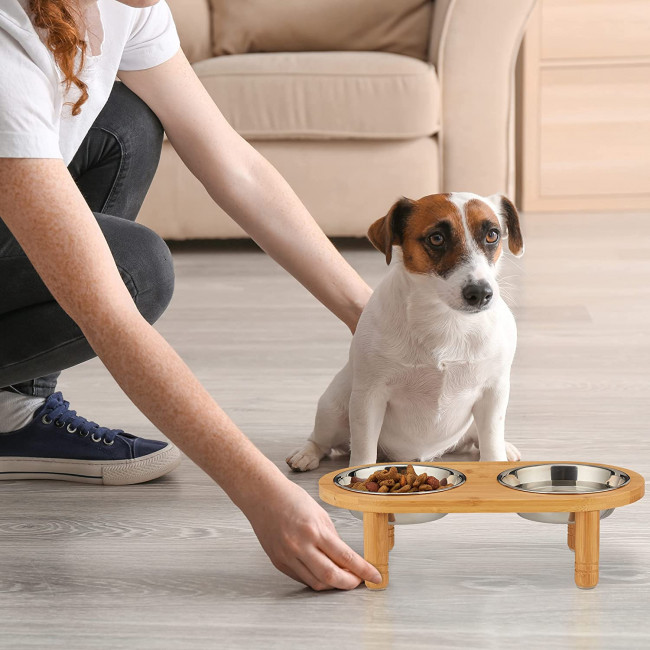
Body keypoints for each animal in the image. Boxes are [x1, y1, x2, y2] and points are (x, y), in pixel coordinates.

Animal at [286, 190, 524, 468]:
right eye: (436, 238)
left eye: (492, 235)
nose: (480, 293)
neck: (446, 320)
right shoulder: (369, 397)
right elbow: (363, 452)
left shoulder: (493, 393)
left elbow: (491, 444)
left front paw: (497, 457)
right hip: (333, 410)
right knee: (322, 439)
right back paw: (306, 454)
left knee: (478, 436)